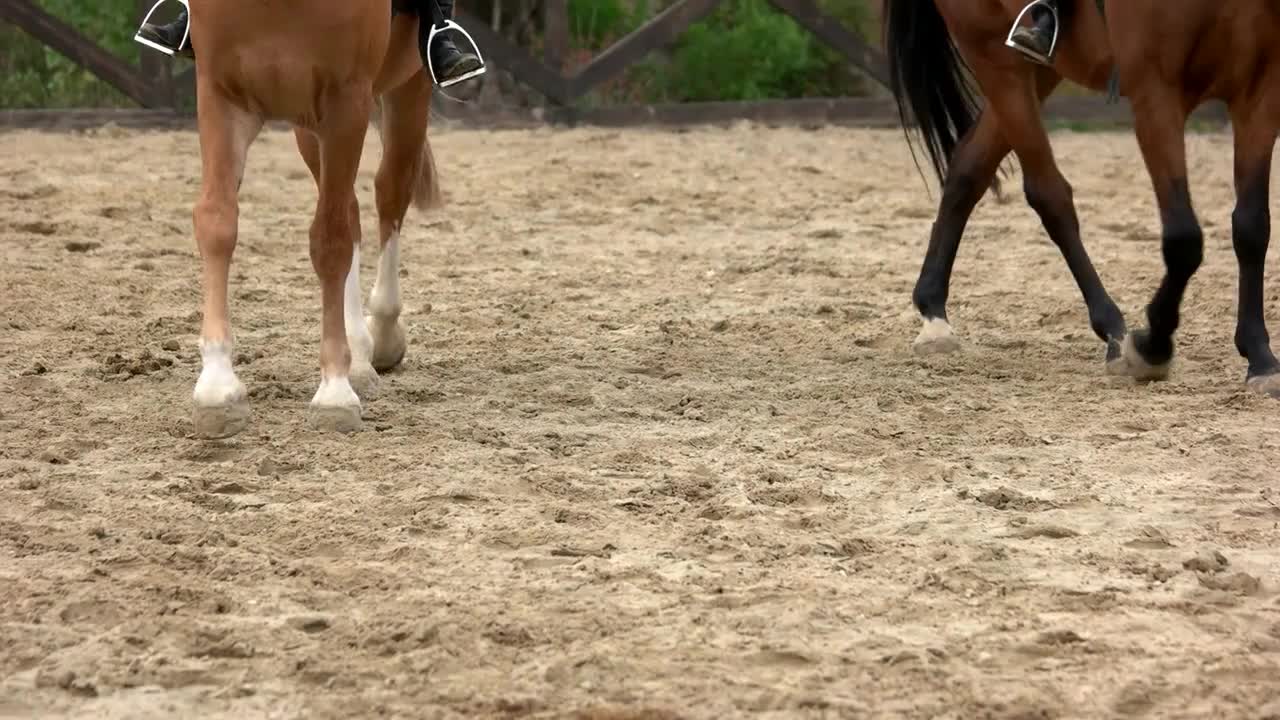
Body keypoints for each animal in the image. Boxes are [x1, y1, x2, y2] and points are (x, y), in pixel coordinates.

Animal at [183, 1, 437, 438]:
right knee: (351, 209)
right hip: (307, 129)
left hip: (407, 90)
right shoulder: (221, 94)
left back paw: (382, 335)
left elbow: (331, 242)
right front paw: (217, 387)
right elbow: (218, 222)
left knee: (389, 195)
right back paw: (360, 356)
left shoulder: (346, 104)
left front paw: (334, 392)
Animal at [880, 0, 1280, 394]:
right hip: (993, 54)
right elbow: (1184, 239)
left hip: (1040, 67)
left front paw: (1260, 357)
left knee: (970, 166)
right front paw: (1152, 347)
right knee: (1048, 194)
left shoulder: (1259, 93)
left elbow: (1251, 227)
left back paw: (934, 313)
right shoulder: (1155, 91)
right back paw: (1114, 331)